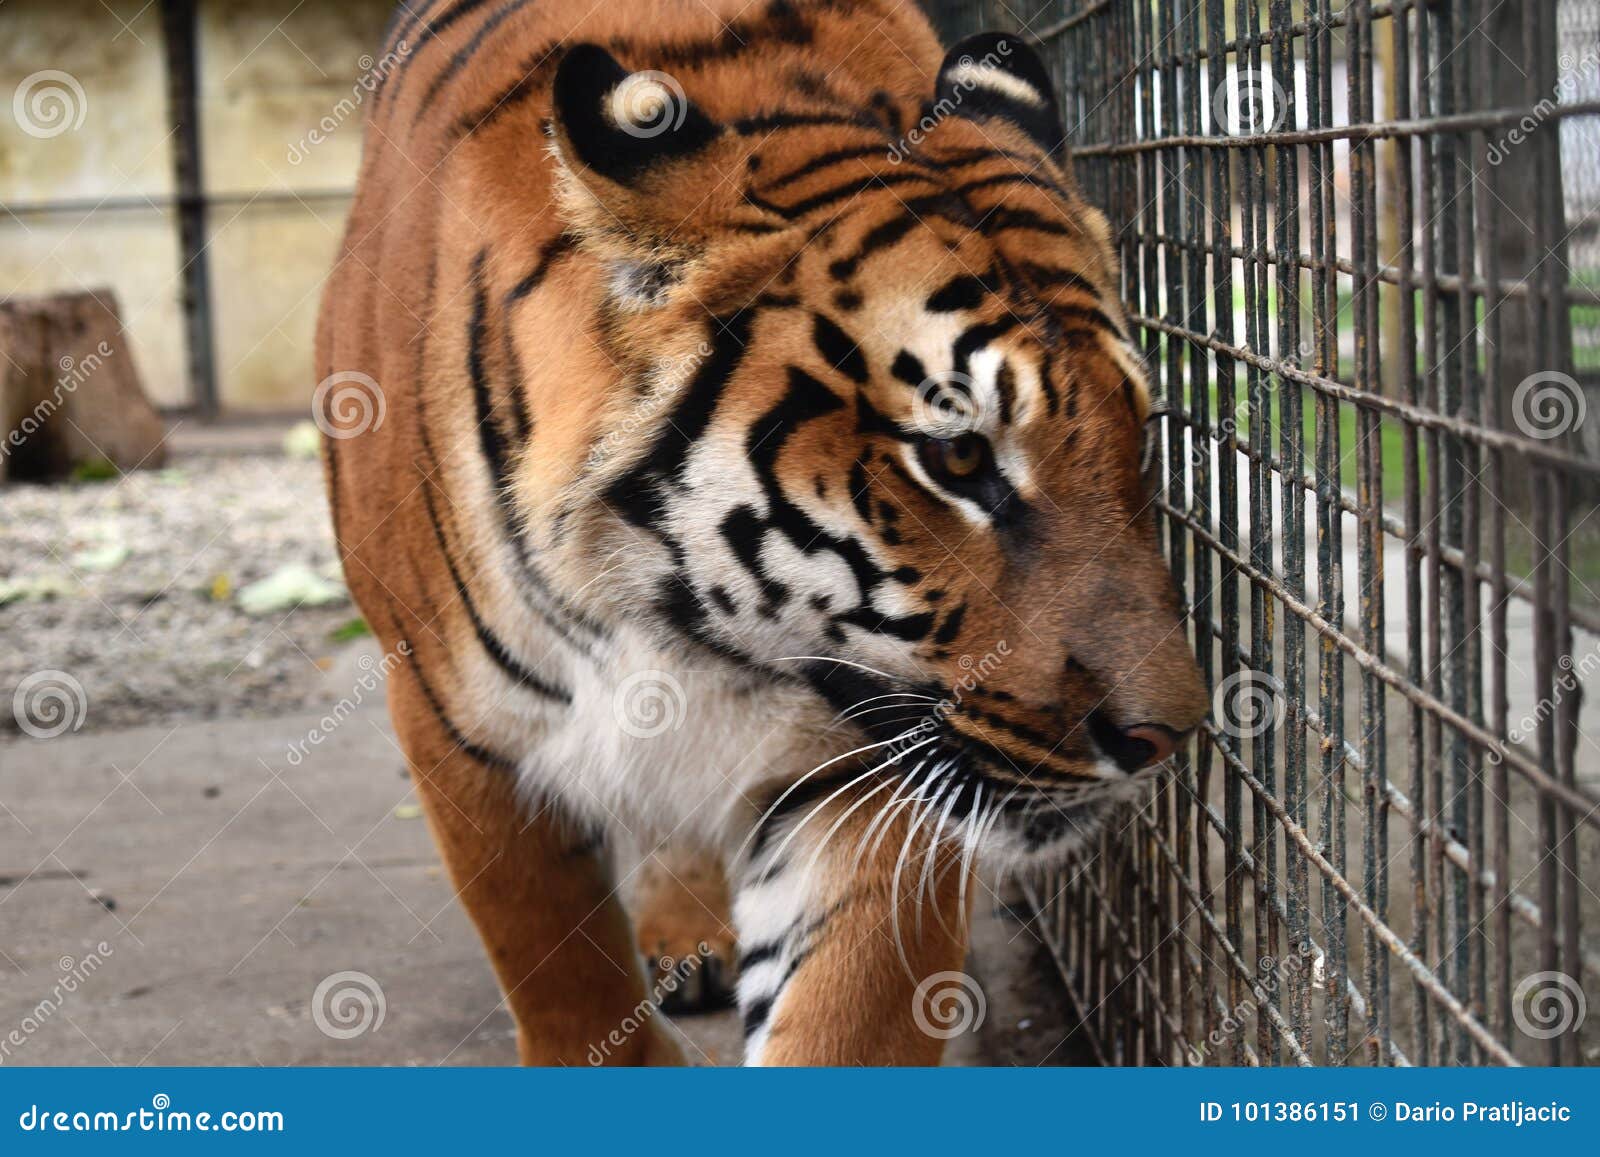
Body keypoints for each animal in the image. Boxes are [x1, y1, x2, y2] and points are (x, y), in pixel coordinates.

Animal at [315, 0, 1208, 1066]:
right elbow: (565, 983)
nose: (1167, 737)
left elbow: (842, 1020)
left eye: (1137, 434)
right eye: (957, 457)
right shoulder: (459, 731)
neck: (673, 625)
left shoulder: (869, 770)